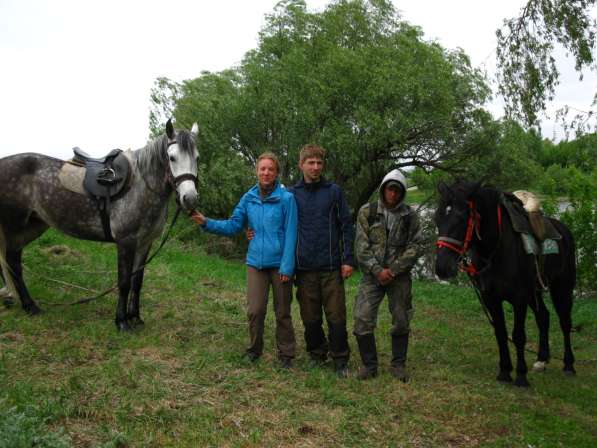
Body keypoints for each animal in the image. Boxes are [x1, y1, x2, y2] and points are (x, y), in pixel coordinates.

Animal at [0, 121, 200, 330]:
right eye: (172, 157)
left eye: (197, 158)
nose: (190, 199)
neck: (141, 186)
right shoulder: (126, 242)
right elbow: (124, 283)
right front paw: (122, 322)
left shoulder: (145, 243)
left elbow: (137, 282)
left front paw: (135, 318)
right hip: (14, 227)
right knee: (13, 264)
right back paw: (30, 306)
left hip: (32, 227)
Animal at [430, 180, 576, 386]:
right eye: (437, 218)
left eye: (462, 219)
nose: (442, 268)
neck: (497, 248)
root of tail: (563, 229)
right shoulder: (491, 298)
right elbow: (500, 332)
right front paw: (505, 372)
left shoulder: (519, 299)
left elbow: (518, 335)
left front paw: (521, 376)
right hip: (534, 292)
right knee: (543, 317)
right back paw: (541, 359)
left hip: (562, 287)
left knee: (565, 322)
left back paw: (569, 365)